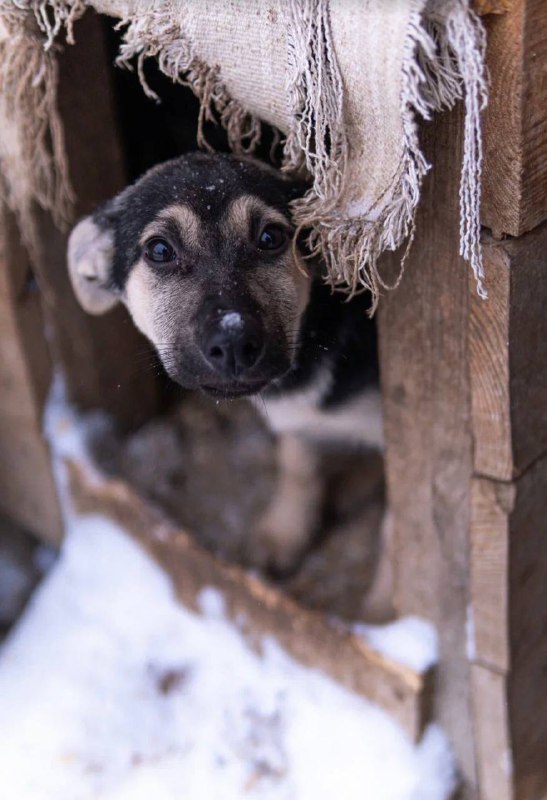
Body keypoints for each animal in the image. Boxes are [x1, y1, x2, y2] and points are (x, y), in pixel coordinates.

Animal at [67, 153, 390, 592]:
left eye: (270, 238)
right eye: (159, 249)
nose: (233, 343)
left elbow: (401, 528)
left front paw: (388, 604)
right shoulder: (296, 425)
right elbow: (297, 466)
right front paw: (284, 533)